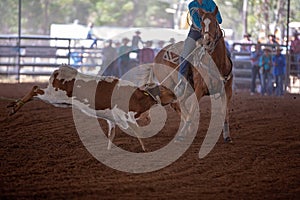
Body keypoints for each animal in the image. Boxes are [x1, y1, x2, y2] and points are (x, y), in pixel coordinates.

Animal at [8, 65, 179, 151]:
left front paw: (108, 152)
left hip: (58, 101)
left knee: (35, 91)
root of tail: (60, 70)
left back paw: (15, 104)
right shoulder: (124, 117)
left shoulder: (113, 120)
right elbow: (138, 132)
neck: (137, 96)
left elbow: (111, 135)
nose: (175, 95)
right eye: (164, 90)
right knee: (35, 88)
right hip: (53, 96)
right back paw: (16, 106)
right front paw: (146, 150)